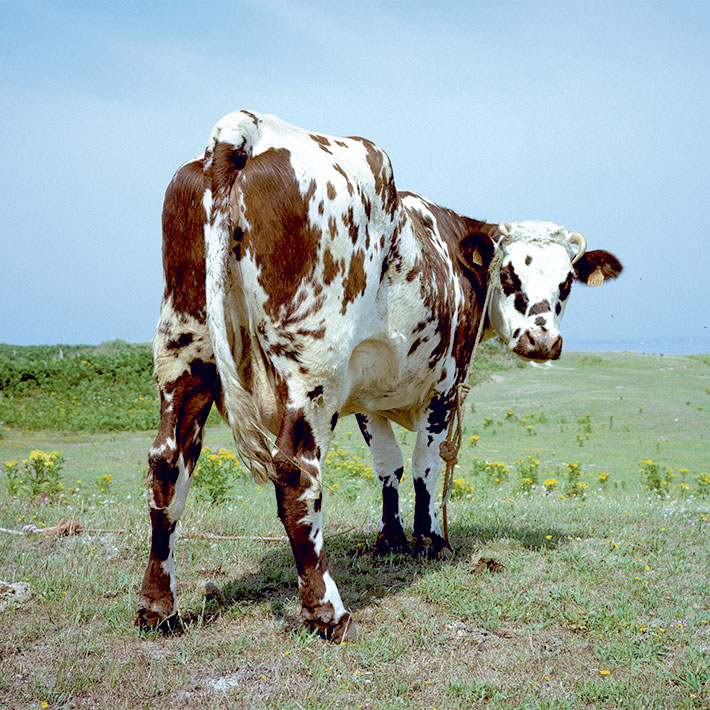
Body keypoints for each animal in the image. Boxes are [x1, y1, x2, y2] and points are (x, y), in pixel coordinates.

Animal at [135, 107, 624, 644]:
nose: (542, 340)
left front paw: (391, 538)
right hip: (313, 368)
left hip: (185, 349)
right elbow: (425, 464)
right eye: (509, 276)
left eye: (567, 283)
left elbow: (388, 465)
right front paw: (430, 540)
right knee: (296, 476)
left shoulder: (369, 398)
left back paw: (159, 608)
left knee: (167, 465)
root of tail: (248, 129)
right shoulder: (443, 385)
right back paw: (327, 613)